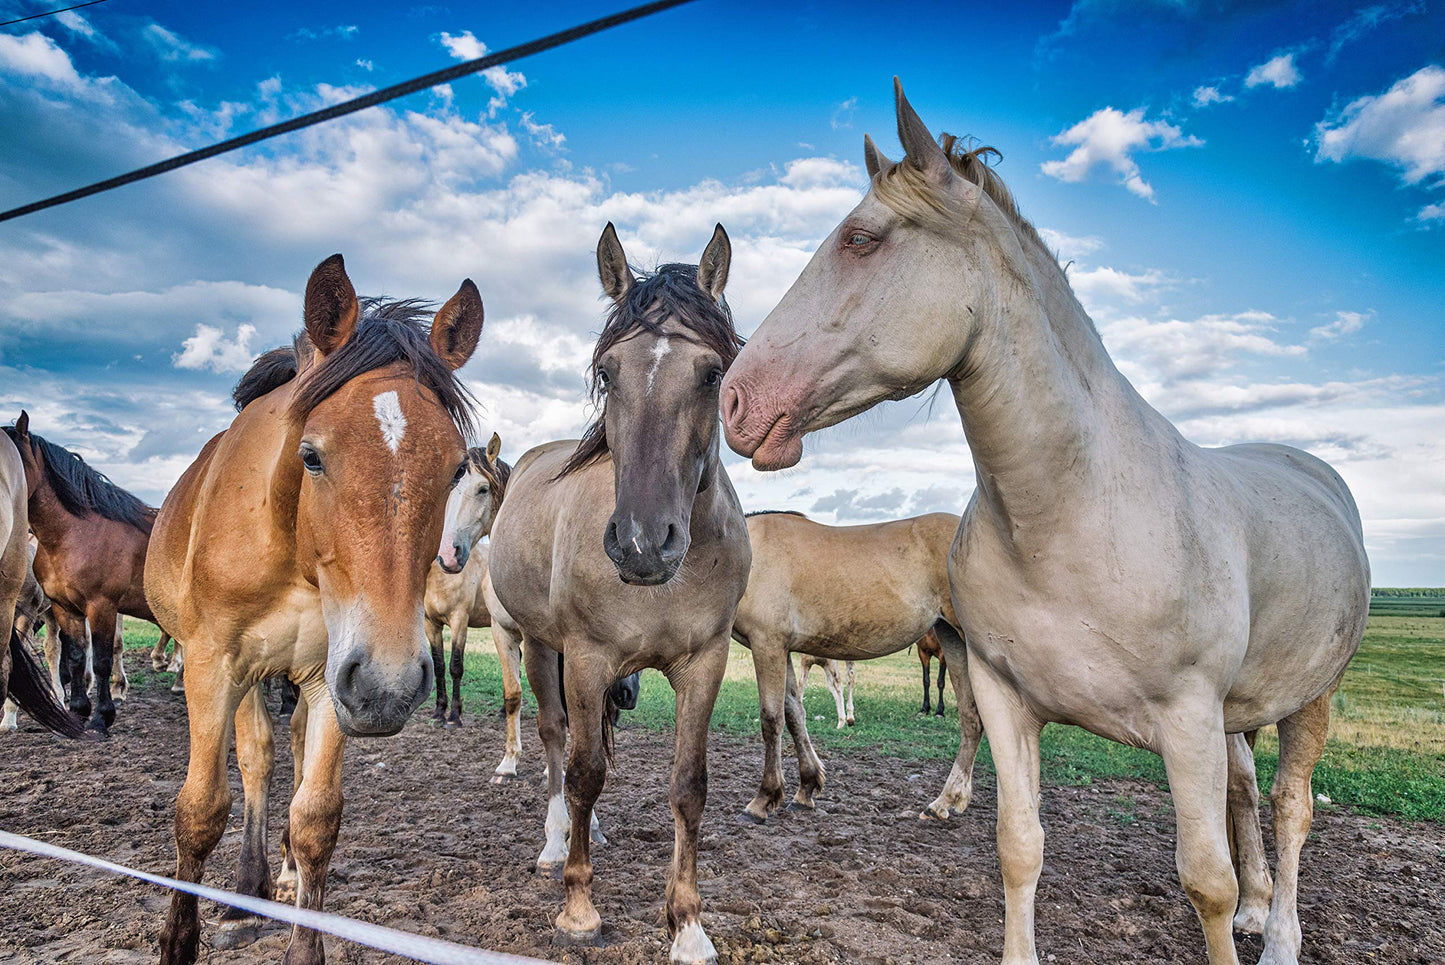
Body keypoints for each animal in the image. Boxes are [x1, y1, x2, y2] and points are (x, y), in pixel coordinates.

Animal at [2, 410, 165, 733]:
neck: (78, 533)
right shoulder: (64, 608)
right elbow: (76, 657)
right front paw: (78, 712)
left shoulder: (101, 607)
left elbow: (101, 660)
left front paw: (102, 717)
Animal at [148, 255, 485, 965]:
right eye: (312, 455)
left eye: (453, 472)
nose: (391, 683)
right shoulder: (212, 664)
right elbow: (202, 808)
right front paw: (181, 938)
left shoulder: (337, 678)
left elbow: (314, 819)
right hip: (248, 675)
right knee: (257, 758)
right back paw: (242, 895)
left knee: (294, 752)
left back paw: (275, 877)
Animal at [421, 433, 514, 733]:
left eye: (483, 489)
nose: (448, 555)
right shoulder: (431, 623)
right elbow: (439, 665)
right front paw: (439, 712)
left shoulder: (459, 619)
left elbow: (456, 665)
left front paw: (454, 716)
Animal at [728, 505, 976, 820]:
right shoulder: (781, 649)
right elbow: (795, 712)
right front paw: (807, 787)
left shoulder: (767, 644)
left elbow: (772, 720)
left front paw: (763, 799)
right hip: (954, 642)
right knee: (972, 718)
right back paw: (945, 801)